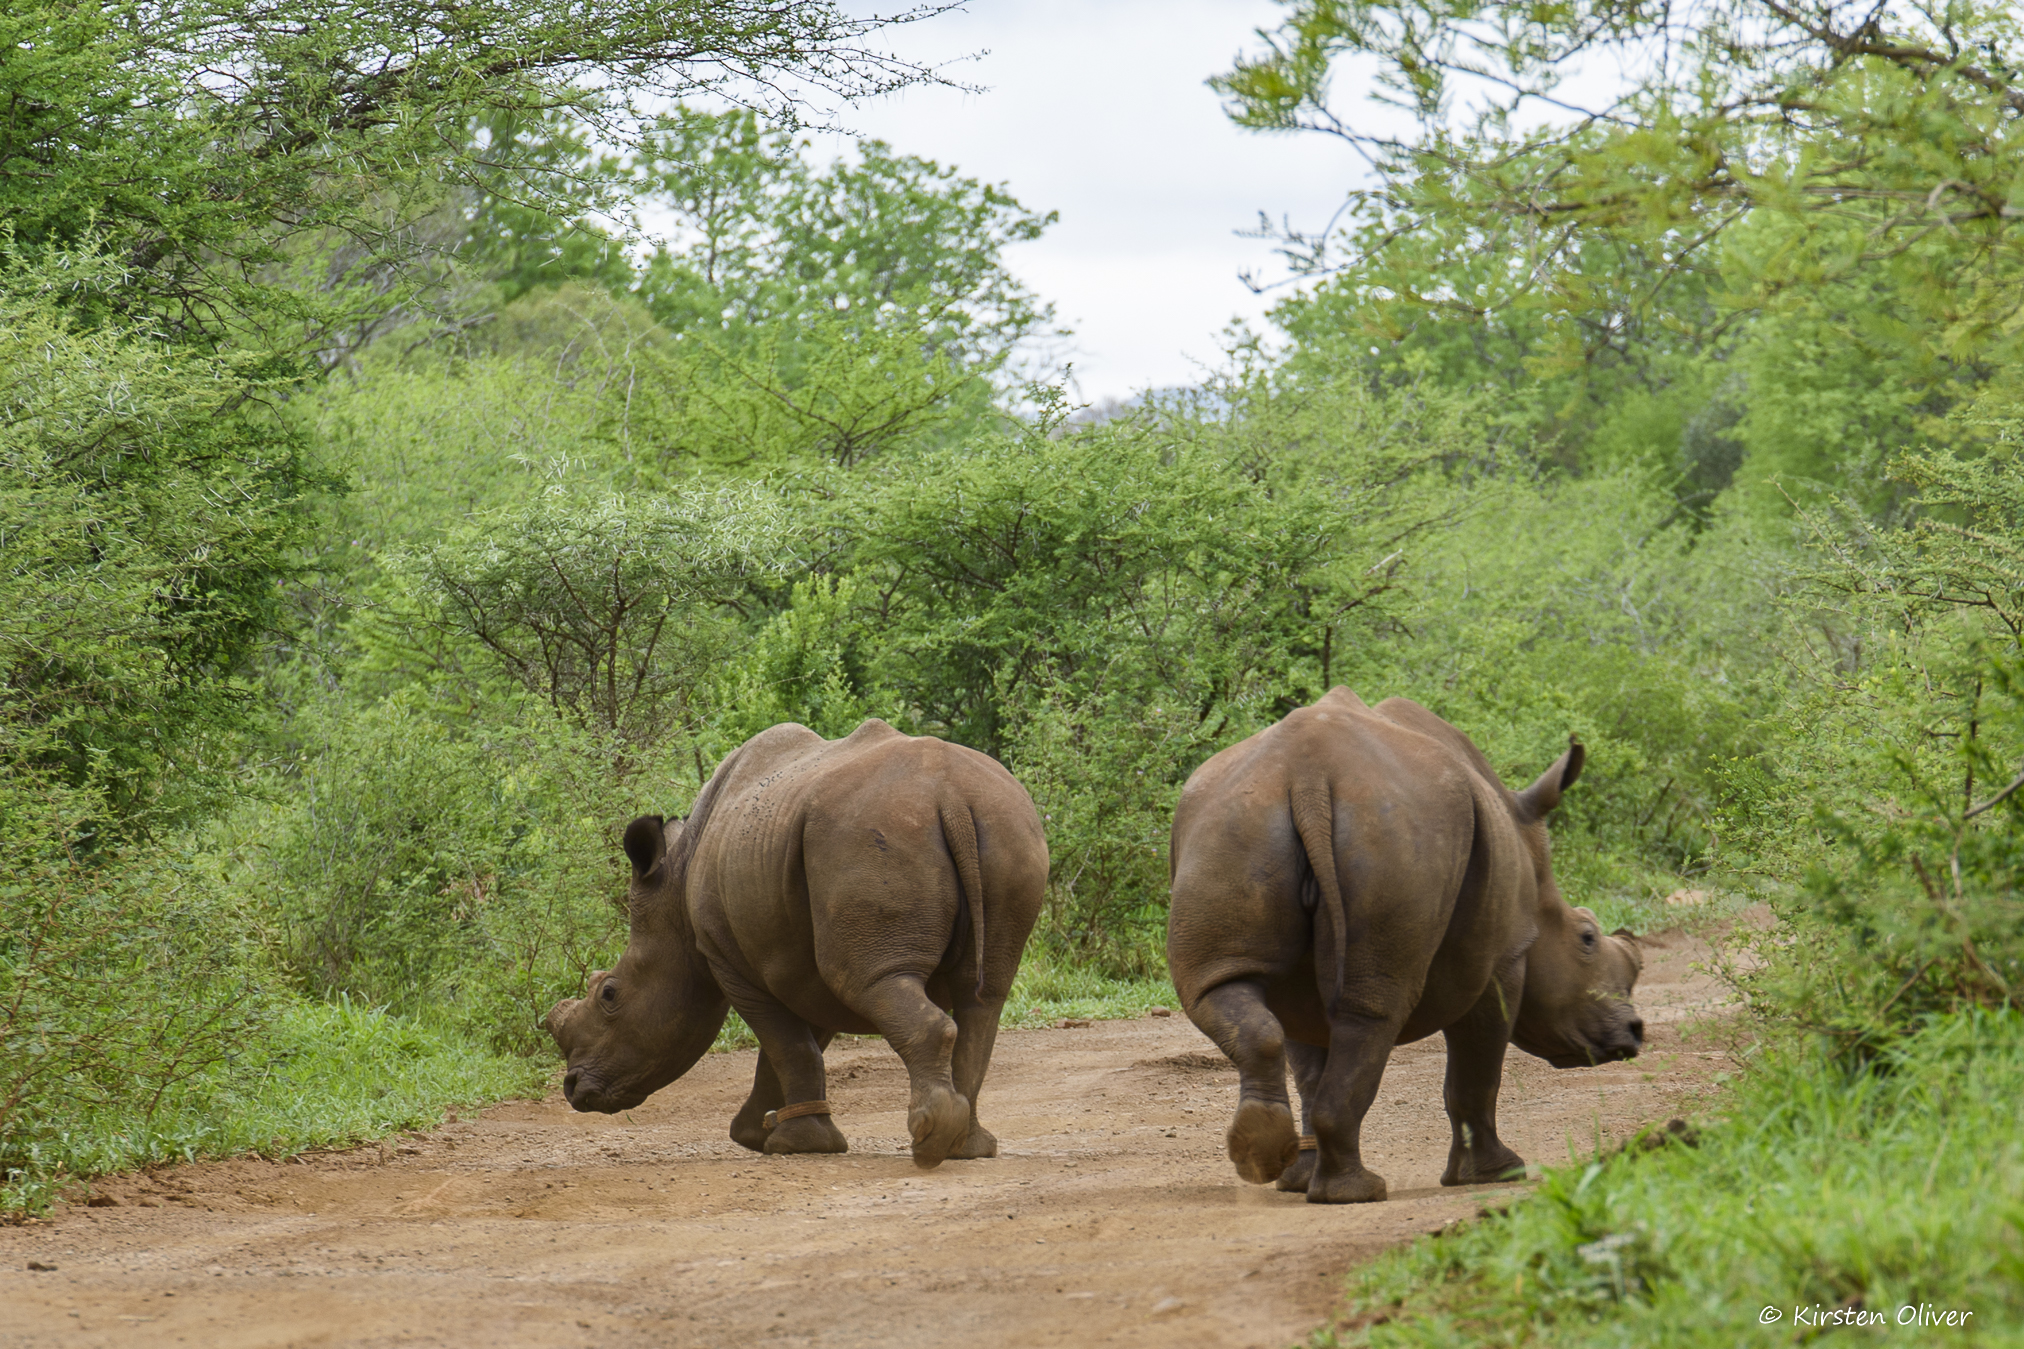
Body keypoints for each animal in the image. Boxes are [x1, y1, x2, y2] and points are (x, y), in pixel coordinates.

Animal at [550, 724, 1044, 1164]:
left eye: (609, 993)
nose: (573, 1088)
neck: (673, 891)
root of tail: (952, 798)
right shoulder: (796, 958)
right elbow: (797, 1045)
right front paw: (763, 1133)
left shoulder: (727, 958)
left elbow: (786, 1044)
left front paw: (787, 1143)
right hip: (1007, 828)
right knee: (984, 995)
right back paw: (968, 1148)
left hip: (869, 840)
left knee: (872, 982)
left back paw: (929, 1146)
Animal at [1173, 691, 1643, 1205]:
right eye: (1586, 938)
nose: (1635, 1032)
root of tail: (1307, 777)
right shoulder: (1502, 959)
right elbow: (1477, 1070)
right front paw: (1500, 1174)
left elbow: (1309, 1061)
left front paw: (1297, 1182)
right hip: (1393, 831)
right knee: (1375, 1009)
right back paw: (1357, 1193)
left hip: (1236, 820)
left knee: (1227, 991)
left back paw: (1267, 1158)